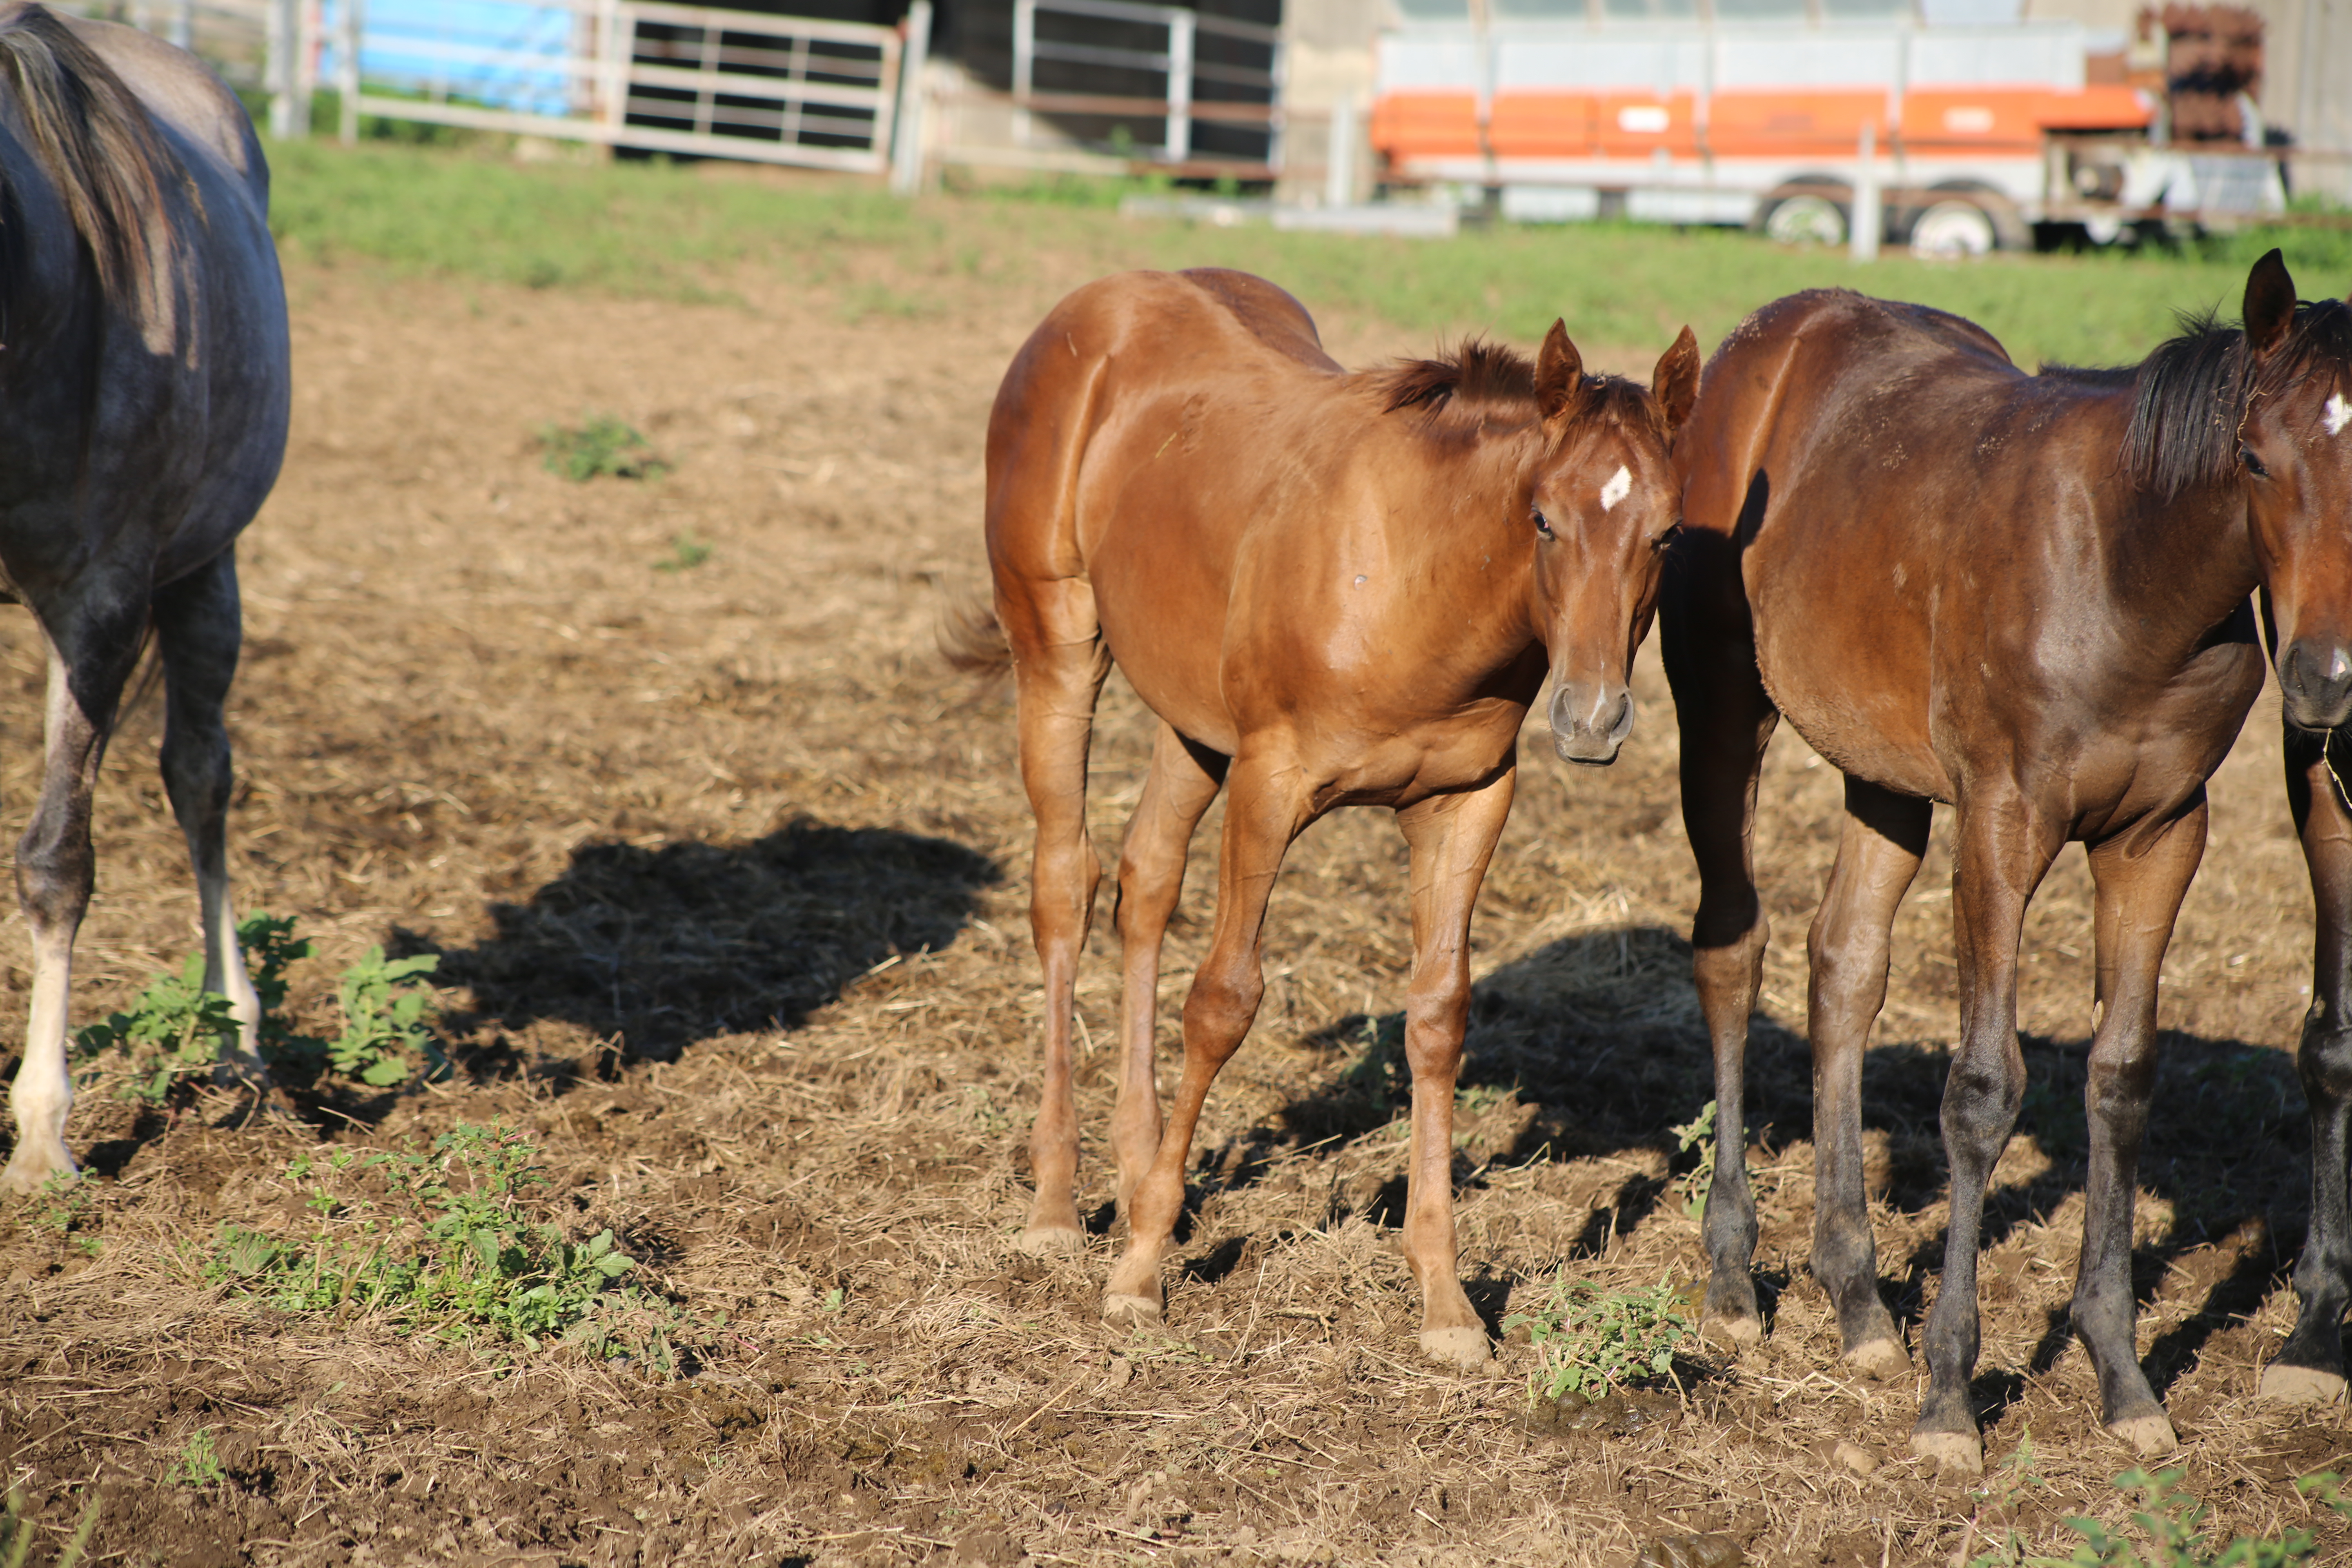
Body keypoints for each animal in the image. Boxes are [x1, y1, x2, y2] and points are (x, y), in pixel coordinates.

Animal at [964, 272, 1703, 1373]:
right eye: (1540, 519)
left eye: (1666, 534)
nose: (1591, 717)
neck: (1413, 580)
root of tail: (1098, 301)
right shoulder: (1271, 783)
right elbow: (1223, 1001)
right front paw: (1138, 1275)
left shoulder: (1467, 801)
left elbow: (1438, 1018)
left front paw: (1446, 1303)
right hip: (1056, 645)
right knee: (1067, 882)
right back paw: (1058, 1203)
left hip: (1192, 721)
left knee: (1146, 879)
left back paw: (1140, 1167)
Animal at [1665, 248, 2342, 1476]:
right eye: (2256, 459)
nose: (2325, 677)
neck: (2124, 574)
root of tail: (1769, 334)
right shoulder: (2000, 824)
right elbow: (1983, 1090)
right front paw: (1947, 1400)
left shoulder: (2160, 835)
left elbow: (2120, 1080)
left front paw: (2122, 1377)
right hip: (1724, 713)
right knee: (1731, 947)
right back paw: (1735, 1275)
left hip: (1882, 769)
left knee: (1844, 963)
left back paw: (1855, 1300)